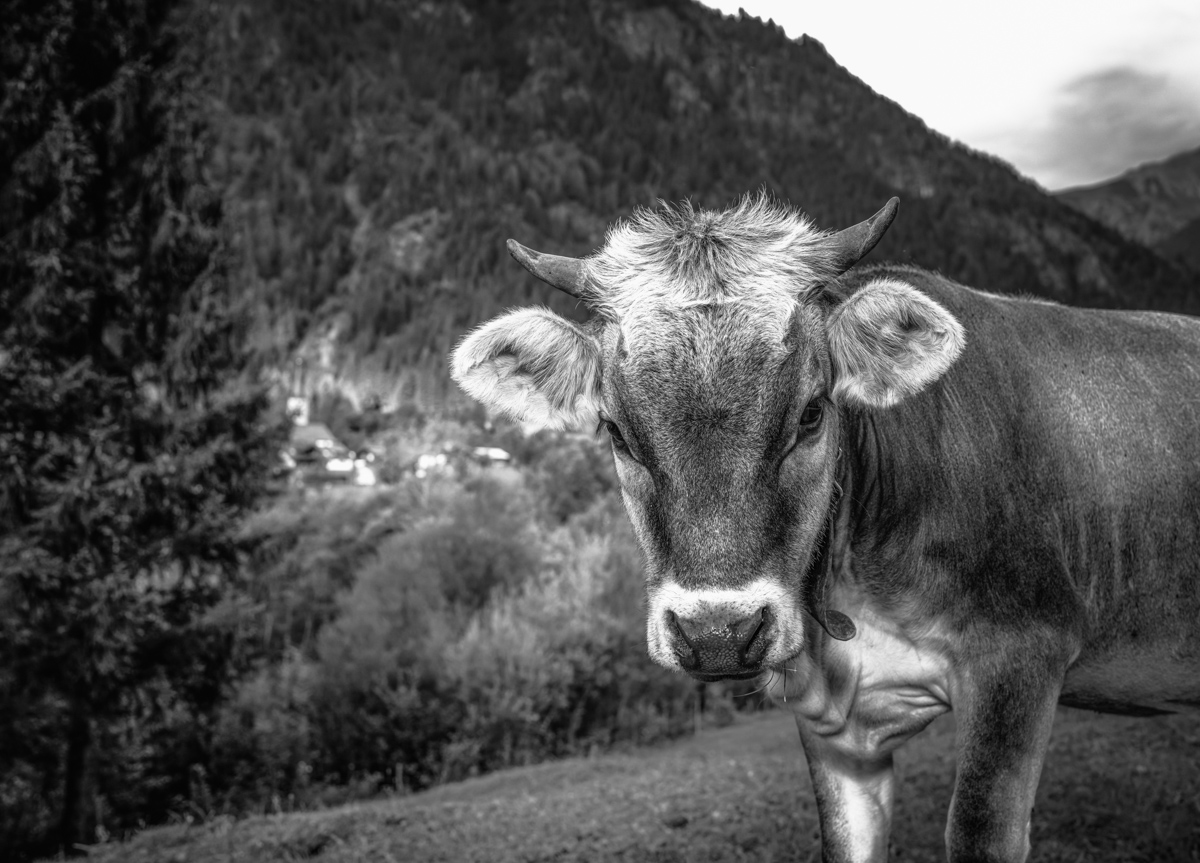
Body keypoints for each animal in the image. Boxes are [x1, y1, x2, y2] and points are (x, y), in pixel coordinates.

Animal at [449, 195, 1200, 862]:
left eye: (812, 413)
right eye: (615, 431)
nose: (718, 634)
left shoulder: (1021, 655)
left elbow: (978, 830)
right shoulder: (834, 727)